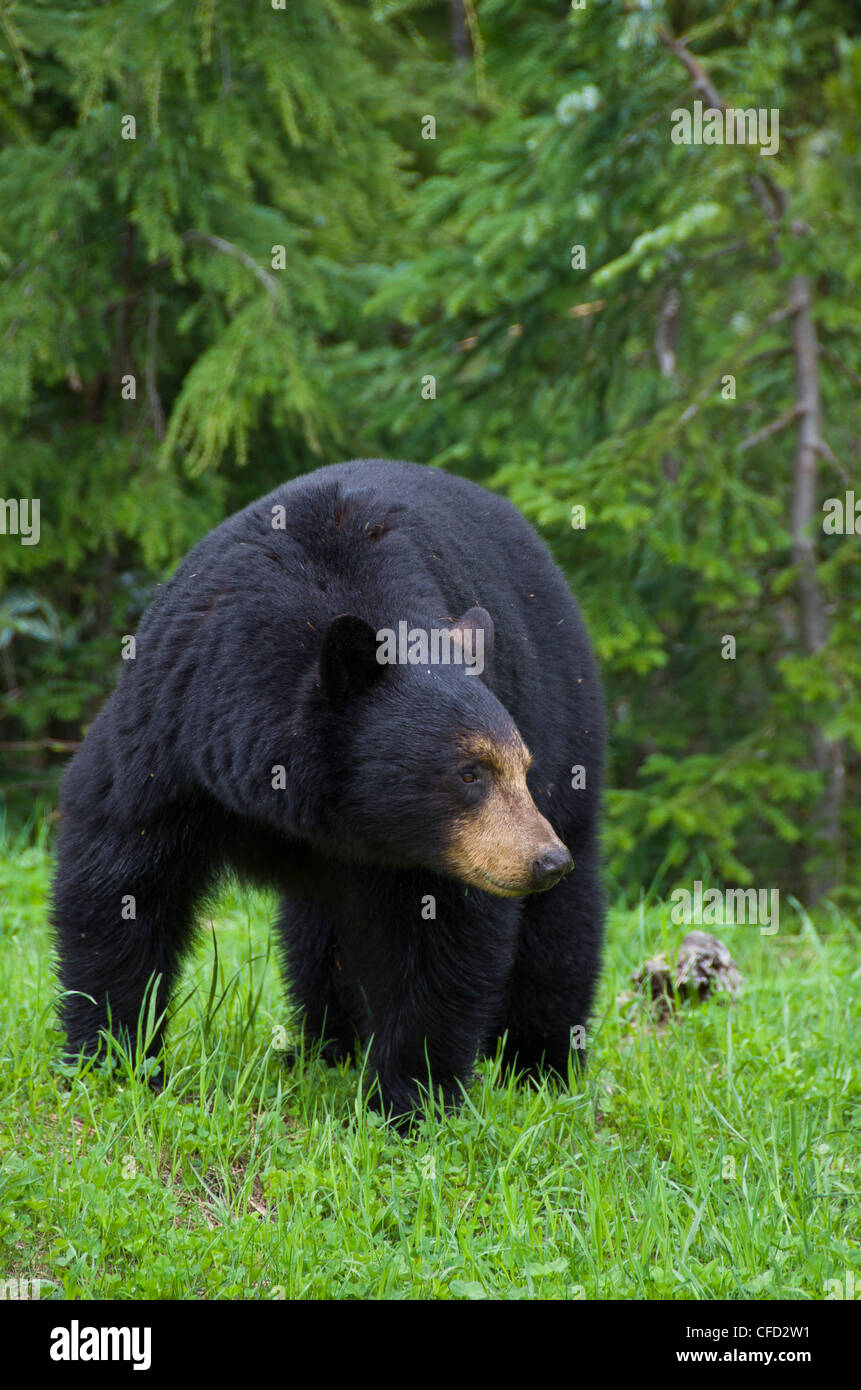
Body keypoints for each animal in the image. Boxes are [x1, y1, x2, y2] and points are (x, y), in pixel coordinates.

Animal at [52, 461, 606, 1123]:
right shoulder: (172, 724)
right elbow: (121, 873)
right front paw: (111, 1061)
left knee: (560, 929)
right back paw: (326, 1047)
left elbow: (443, 937)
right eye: (469, 773)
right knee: (321, 942)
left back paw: (539, 1063)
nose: (544, 860)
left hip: (565, 716)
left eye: (517, 768)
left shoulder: (447, 847)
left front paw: (409, 1100)